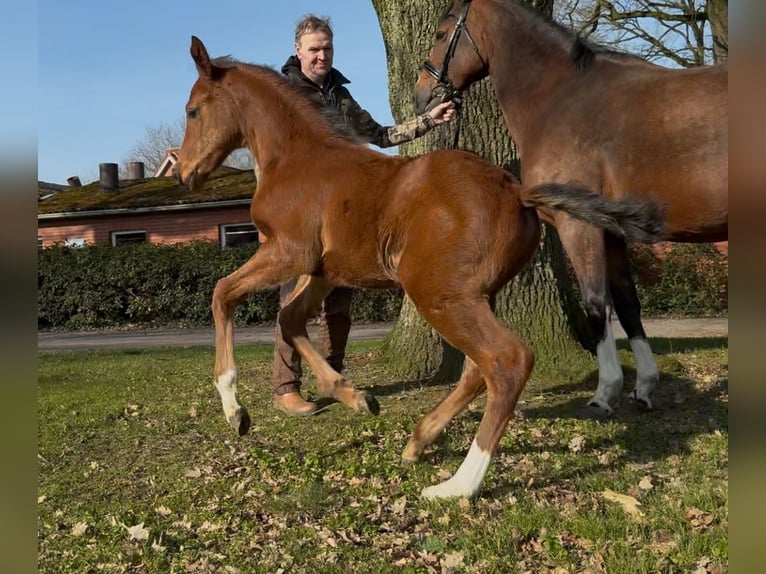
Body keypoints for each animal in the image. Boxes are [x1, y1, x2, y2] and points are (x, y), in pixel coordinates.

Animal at [174, 36, 664, 500]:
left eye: (193, 110)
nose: (184, 175)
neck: (295, 159)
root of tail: (516, 191)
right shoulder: (325, 270)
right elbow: (289, 318)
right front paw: (356, 397)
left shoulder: (288, 253)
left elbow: (222, 293)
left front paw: (235, 410)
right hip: (473, 292)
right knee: (476, 368)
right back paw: (419, 441)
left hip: (435, 290)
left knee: (507, 360)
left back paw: (458, 485)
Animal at [416, 0, 728, 416]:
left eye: (440, 33)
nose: (422, 96)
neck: (561, 97)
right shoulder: (611, 231)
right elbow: (627, 304)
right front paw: (644, 386)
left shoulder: (577, 224)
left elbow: (596, 304)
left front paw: (605, 393)